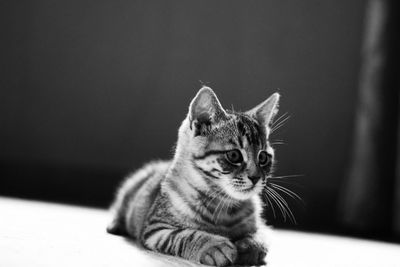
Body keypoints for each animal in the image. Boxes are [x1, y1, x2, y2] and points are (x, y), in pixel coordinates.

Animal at [108, 87, 280, 266]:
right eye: (234, 155)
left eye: (263, 158)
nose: (256, 177)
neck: (224, 206)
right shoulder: (155, 229)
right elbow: (185, 235)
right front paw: (214, 245)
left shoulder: (260, 225)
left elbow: (260, 236)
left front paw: (250, 245)